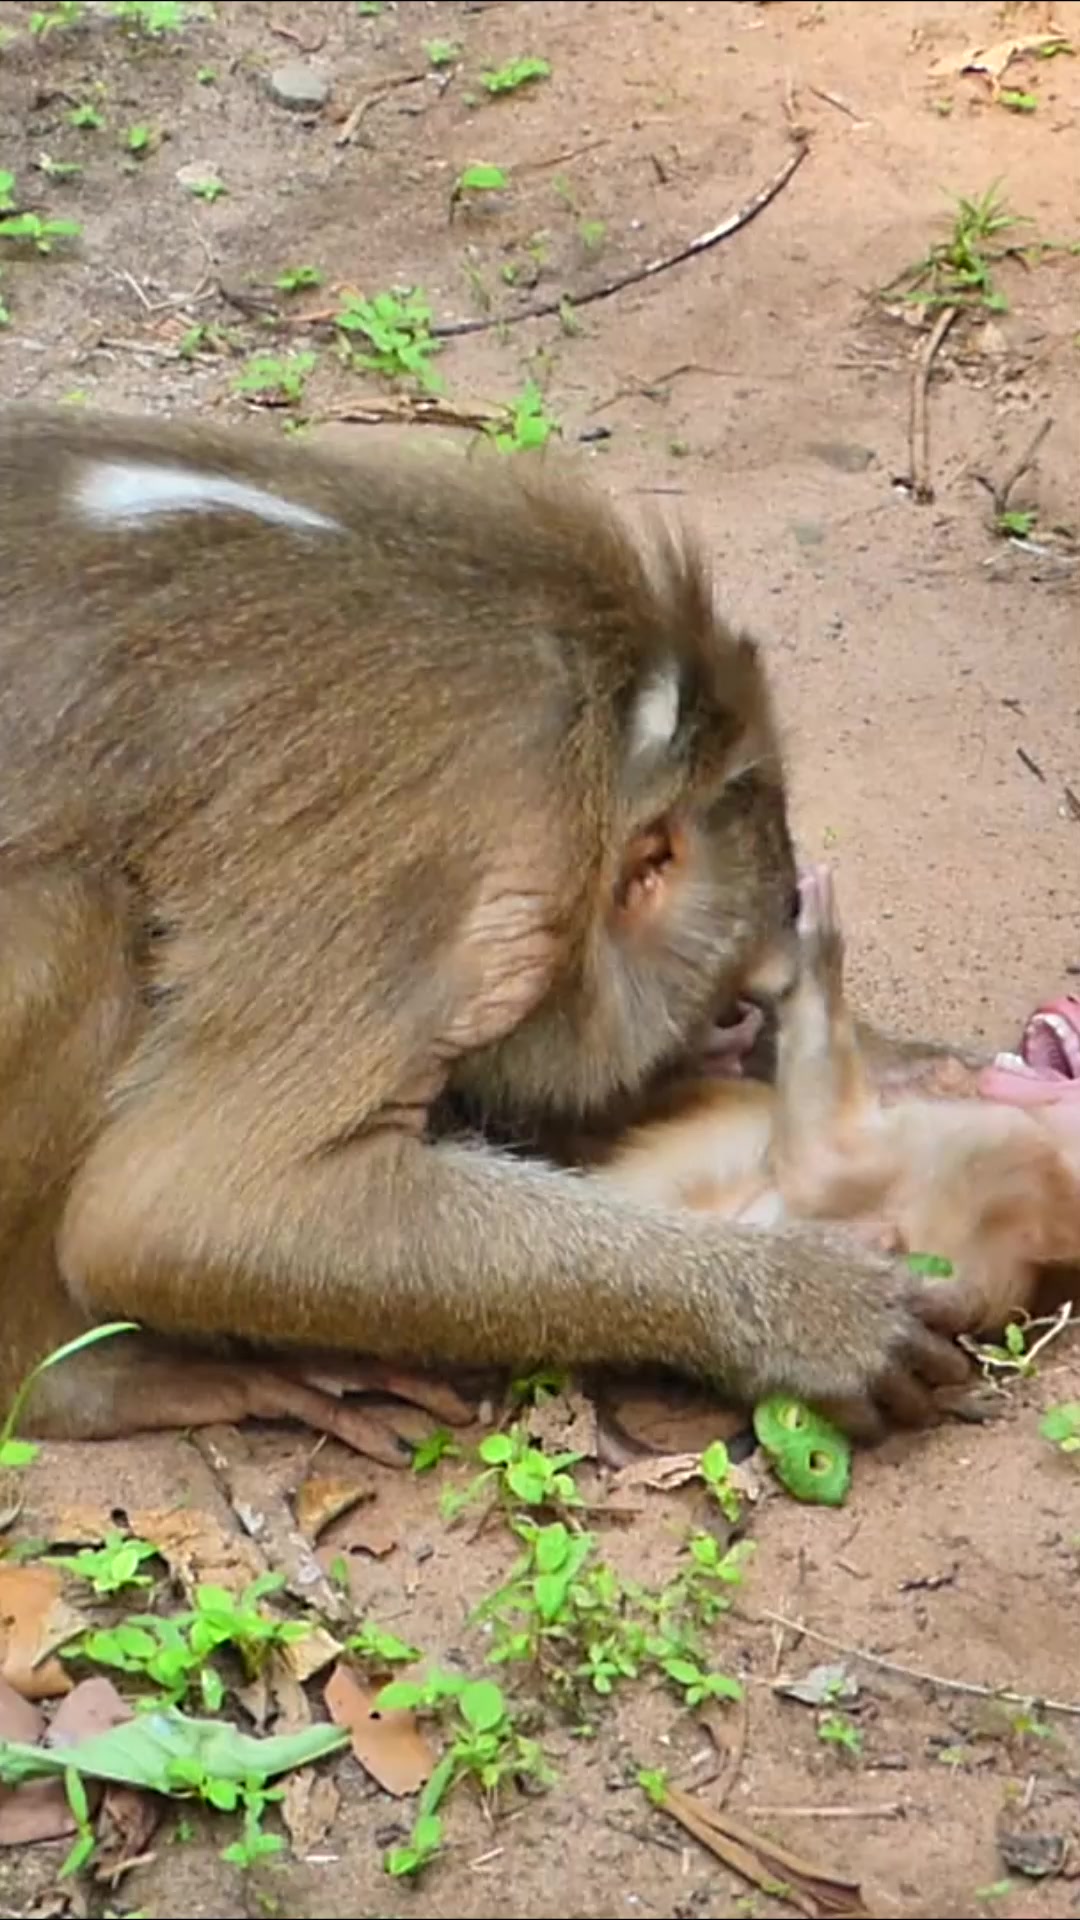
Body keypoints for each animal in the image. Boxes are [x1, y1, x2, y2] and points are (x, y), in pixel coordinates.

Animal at [0, 405, 978, 1463]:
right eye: (725, 1008)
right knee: (74, 921)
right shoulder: (468, 854)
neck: (607, 738)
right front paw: (803, 1309)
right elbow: (176, 1207)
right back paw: (64, 1382)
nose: (740, 1039)